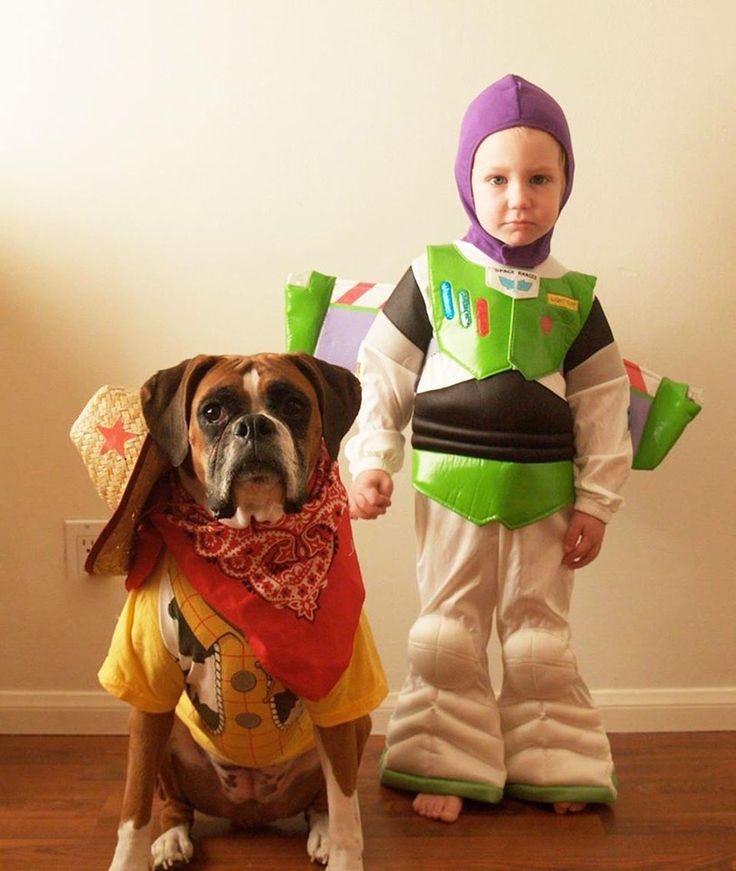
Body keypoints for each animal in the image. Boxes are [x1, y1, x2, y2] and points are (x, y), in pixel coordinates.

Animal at [108, 352, 380, 871]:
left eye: (293, 405)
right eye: (213, 412)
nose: (254, 425)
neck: (254, 544)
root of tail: (250, 810)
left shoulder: (341, 700)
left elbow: (348, 810)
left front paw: (343, 852)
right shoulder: (147, 696)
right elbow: (132, 807)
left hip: (359, 724)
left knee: (324, 802)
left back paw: (320, 834)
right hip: (169, 729)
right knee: (172, 803)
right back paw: (171, 837)